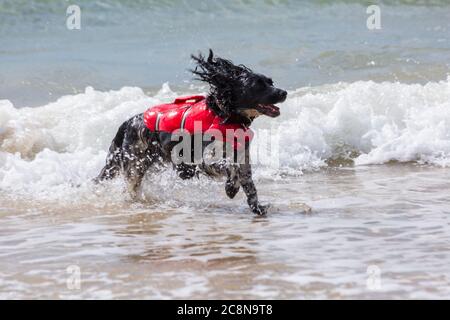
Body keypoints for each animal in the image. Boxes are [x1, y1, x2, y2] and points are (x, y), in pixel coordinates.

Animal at [97, 50, 288, 215]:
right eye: (258, 86)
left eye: (270, 82)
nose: (284, 92)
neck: (225, 115)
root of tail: (128, 122)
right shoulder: (203, 159)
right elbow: (228, 166)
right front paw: (231, 188)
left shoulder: (243, 159)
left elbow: (249, 185)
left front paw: (257, 208)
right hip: (135, 165)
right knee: (131, 186)